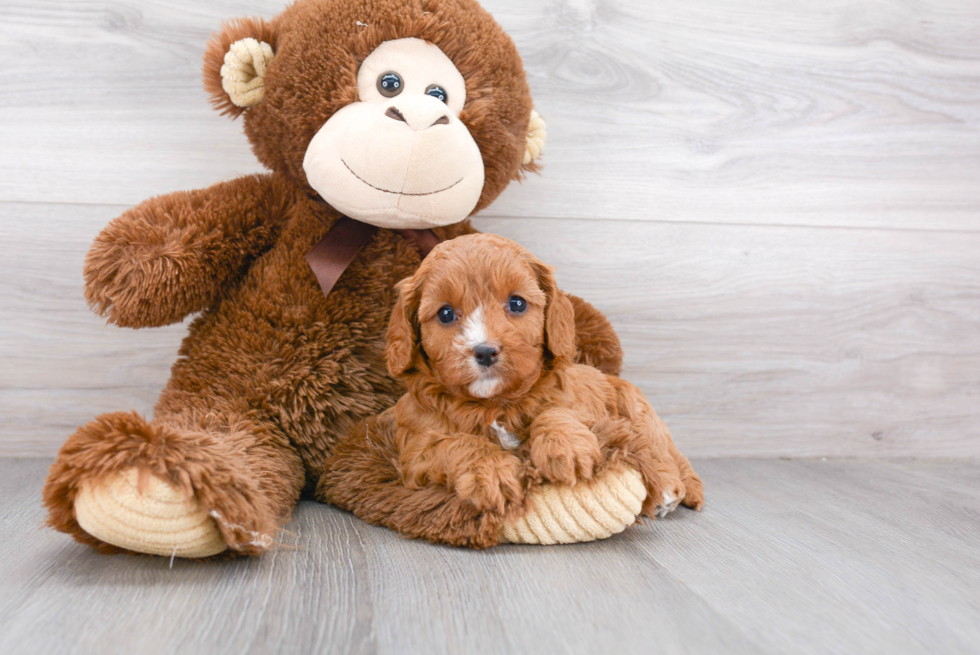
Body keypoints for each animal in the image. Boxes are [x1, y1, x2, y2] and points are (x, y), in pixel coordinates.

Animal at [386, 233, 700, 520]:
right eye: (446, 313)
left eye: (517, 303)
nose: (485, 351)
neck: (496, 404)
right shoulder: (415, 448)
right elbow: (456, 443)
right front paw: (492, 472)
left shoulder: (579, 403)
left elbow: (557, 410)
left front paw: (565, 447)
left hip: (638, 412)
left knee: (657, 450)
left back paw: (667, 487)